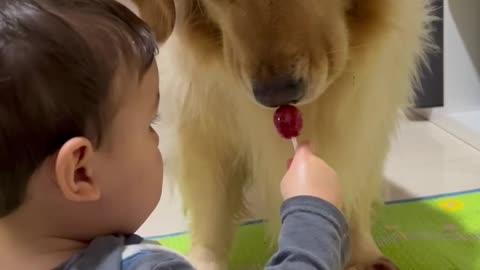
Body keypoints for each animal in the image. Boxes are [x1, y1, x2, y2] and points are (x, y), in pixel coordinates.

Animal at [130, 0, 432, 270]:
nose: (276, 95)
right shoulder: (201, 119)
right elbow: (211, 211)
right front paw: (204, 261)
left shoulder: (371, 106)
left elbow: (352, 180)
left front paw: (363, 256)